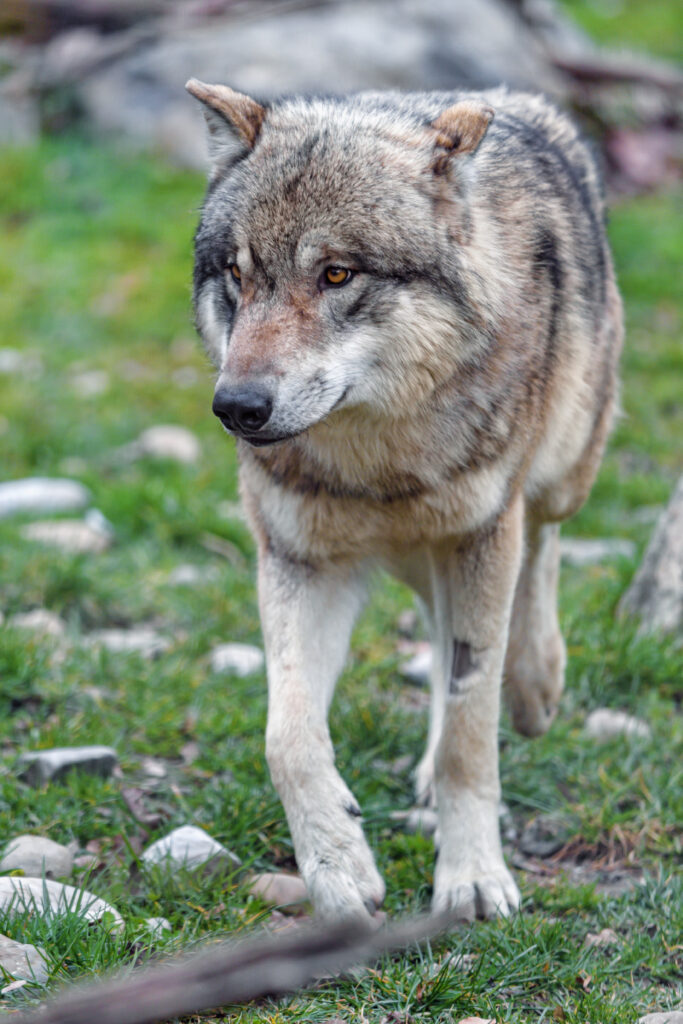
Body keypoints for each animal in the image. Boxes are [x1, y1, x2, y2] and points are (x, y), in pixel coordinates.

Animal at [186, 79, 622, 924]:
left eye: (336, 275)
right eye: (237, 274)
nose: (236, 408)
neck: (378, 459)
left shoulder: (483, 533)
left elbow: (469, 734)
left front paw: (473, 877)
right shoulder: (298, 559)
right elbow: (287, 738)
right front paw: (337, 866)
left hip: (556, 476)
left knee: (539, 552)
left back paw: (536, 684)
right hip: (426, 558)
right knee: (441, 623)